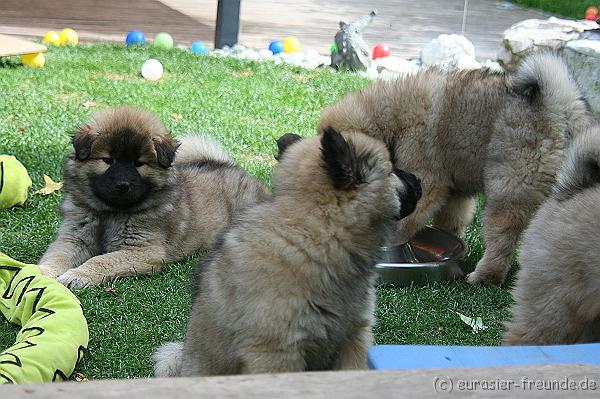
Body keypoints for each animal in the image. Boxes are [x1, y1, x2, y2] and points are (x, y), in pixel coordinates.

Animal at [38, 106, 270, 288]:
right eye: (108, 160)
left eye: (138, 163)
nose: (122, 185)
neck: (111, 212)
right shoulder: (73, 237)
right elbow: (56, 256)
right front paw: (41, 273)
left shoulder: (143, 250)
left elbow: (101, 260)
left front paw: (76, 276)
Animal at [318, 51, 596, 286]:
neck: (393, 119)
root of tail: (561, 107)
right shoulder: (455, 194)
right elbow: (450, 222)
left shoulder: (429, 183)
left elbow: (408, 219)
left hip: (508, 188)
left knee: (502, 239)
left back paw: (485, 277)